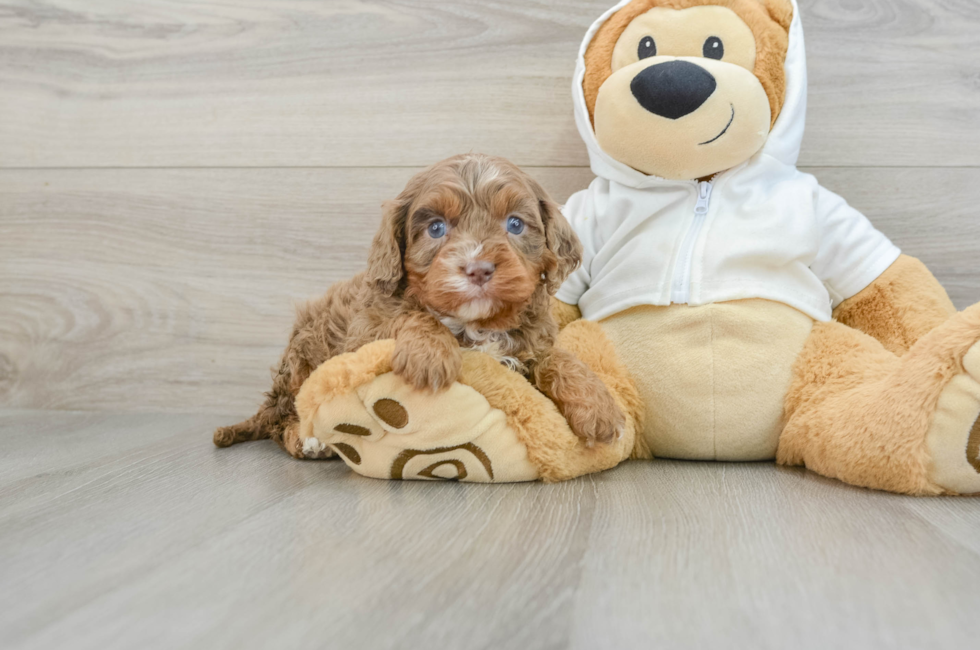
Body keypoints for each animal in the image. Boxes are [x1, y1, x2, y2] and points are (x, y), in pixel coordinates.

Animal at [215, 153, 628, 456]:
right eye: (436, 228)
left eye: (514, 224)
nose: (478, 269)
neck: (474, 324)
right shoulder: (367, 331)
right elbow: (409, 317)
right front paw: (430, 355)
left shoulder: (530, 345)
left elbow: (559, 358)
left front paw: (600, 407)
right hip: (301, 361)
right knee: (281, 417)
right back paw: (306, 439)